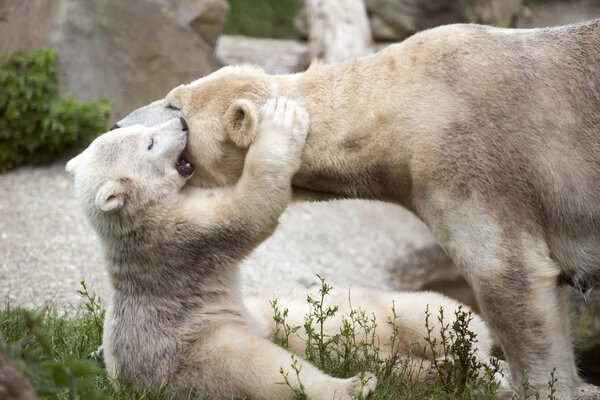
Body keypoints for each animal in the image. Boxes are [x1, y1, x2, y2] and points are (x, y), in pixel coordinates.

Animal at [116, 21, 600, 396]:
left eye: (176, 108)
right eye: (173, 94)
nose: (117, 123)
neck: (405, 103)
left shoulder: (471, 160)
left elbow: (510, 275)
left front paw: (543, 386)